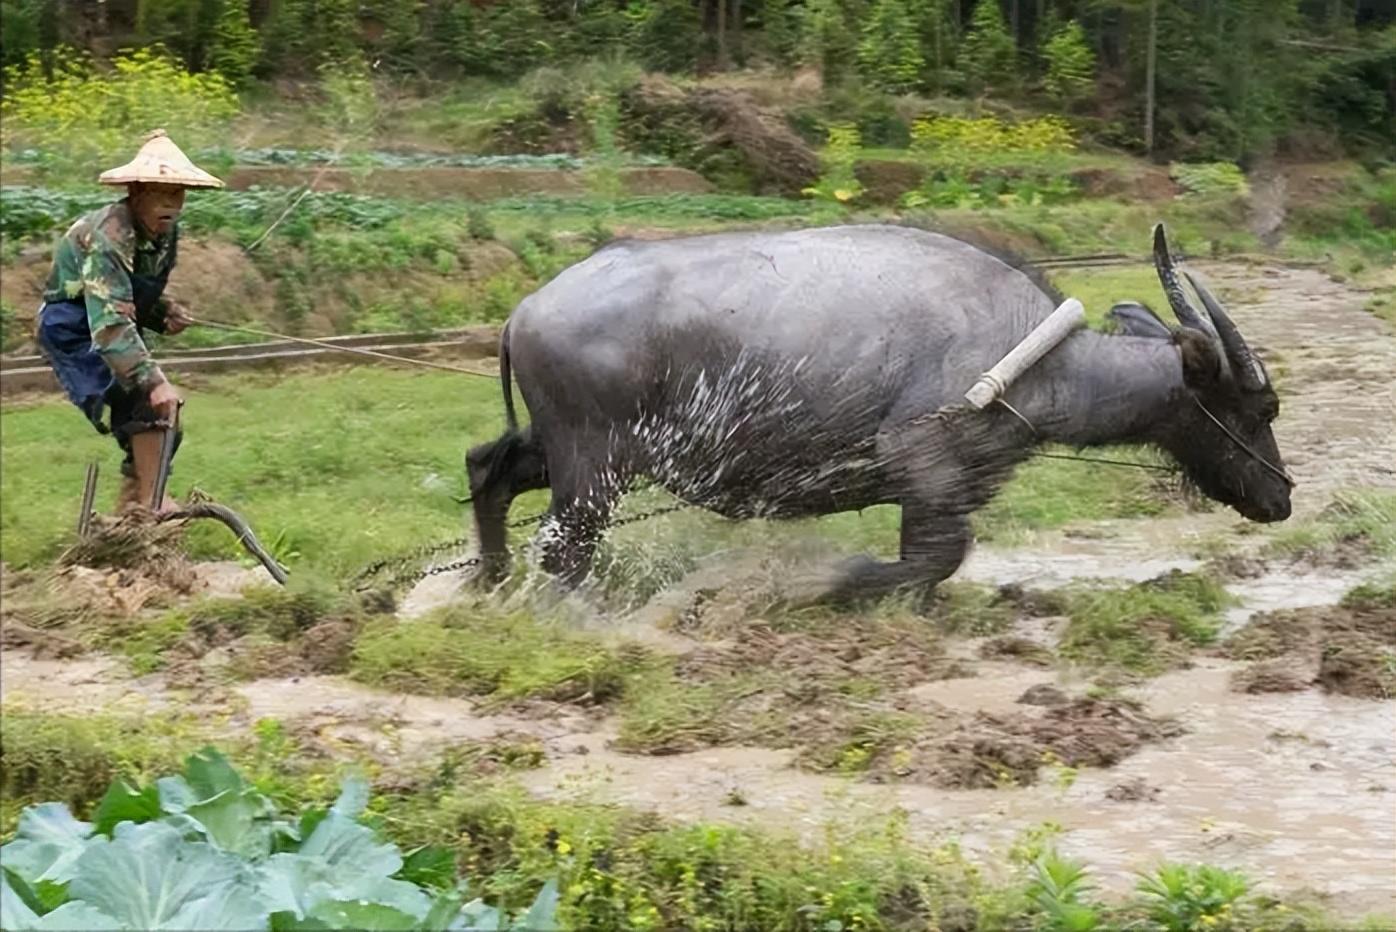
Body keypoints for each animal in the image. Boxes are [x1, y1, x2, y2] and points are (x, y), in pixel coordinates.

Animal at [463, 224, 1289, 605]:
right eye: (1261, 405)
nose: (1282, 497)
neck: (1034, 355)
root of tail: (526, 310)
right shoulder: (919, 462)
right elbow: (931, 558)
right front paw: (824, 584)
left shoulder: (935, 492)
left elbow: (930, 564)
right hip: (592, 468)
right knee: (563, 549)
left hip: (566, 452)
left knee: (487, 468)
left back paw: (487, 583)